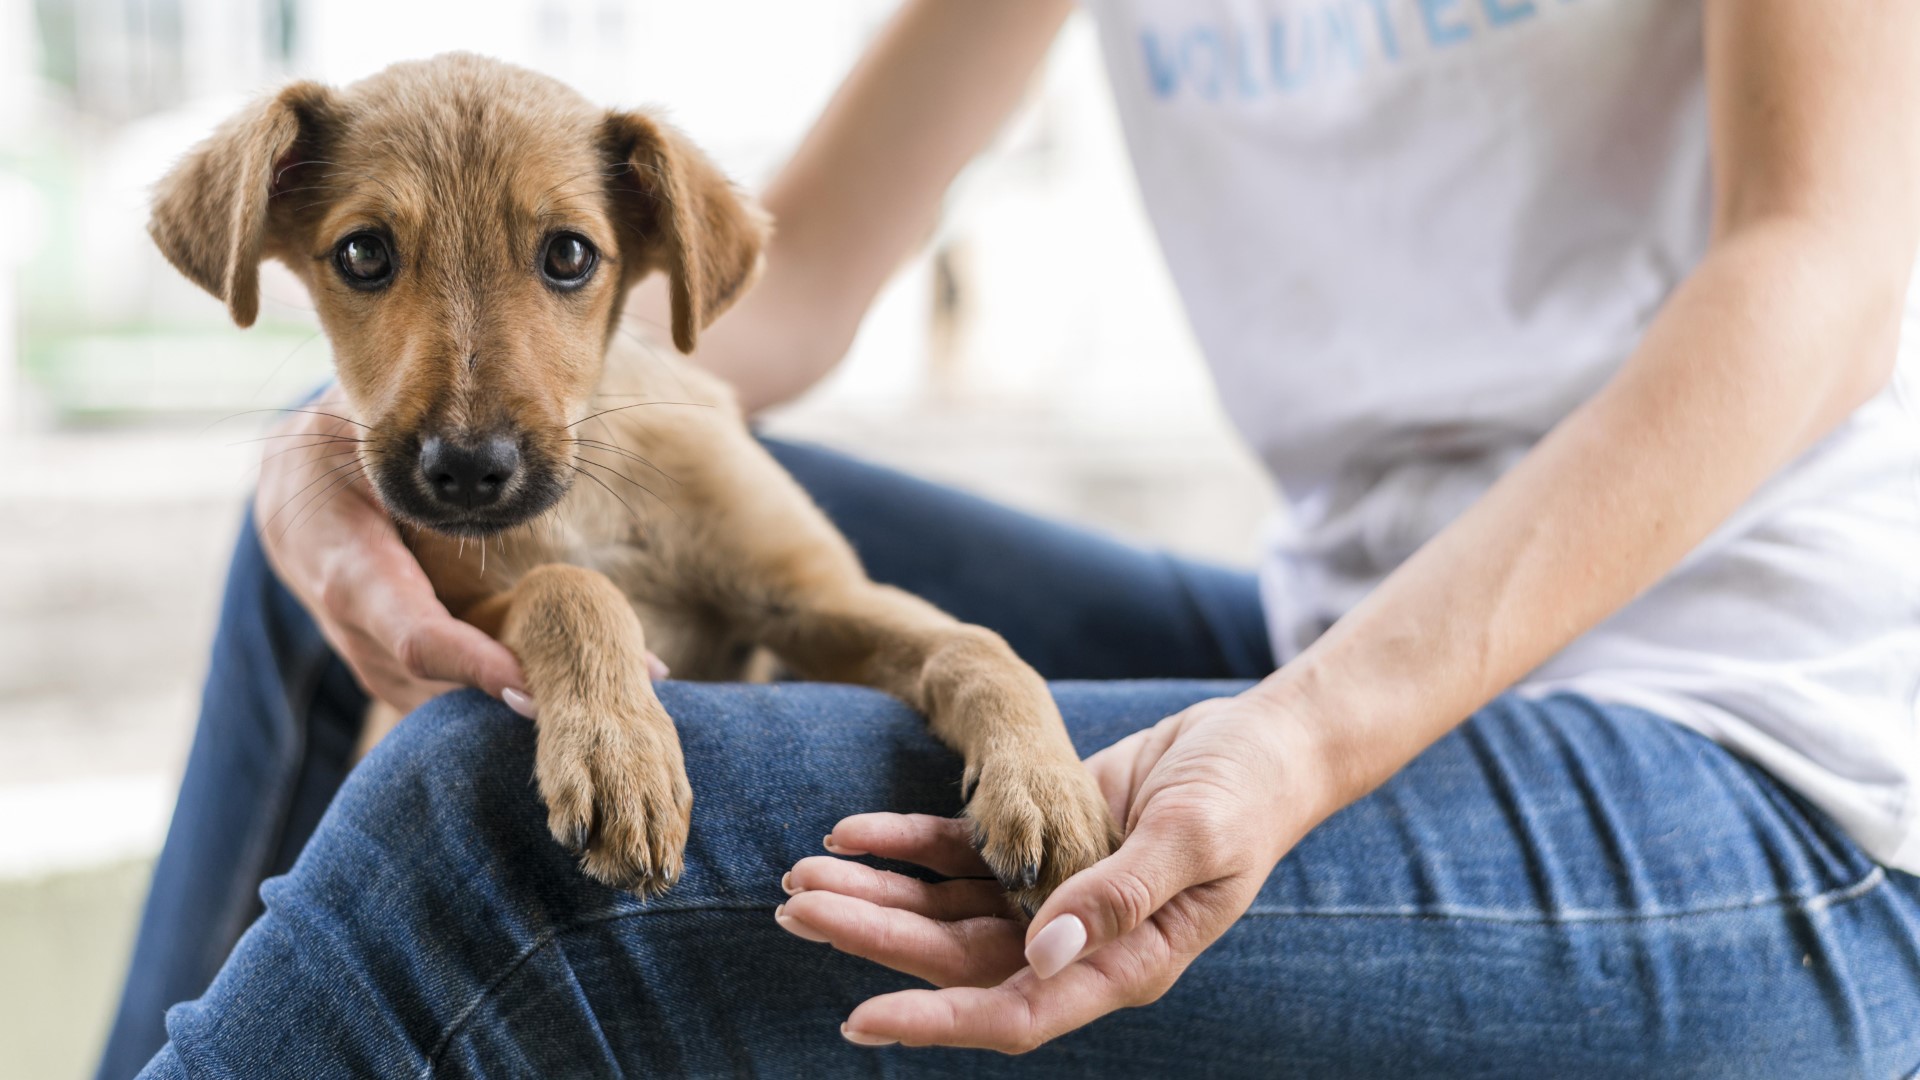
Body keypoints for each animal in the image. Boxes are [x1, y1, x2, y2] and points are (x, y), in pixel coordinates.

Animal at [149, 54, 1121, 903]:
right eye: (362, 255)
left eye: (570, 255)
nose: (466, 470)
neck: (591, 499)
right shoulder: (457, 614)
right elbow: (568, 587)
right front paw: (621, 755)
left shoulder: (814, 600)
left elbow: (977, 646)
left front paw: (1048, 785)